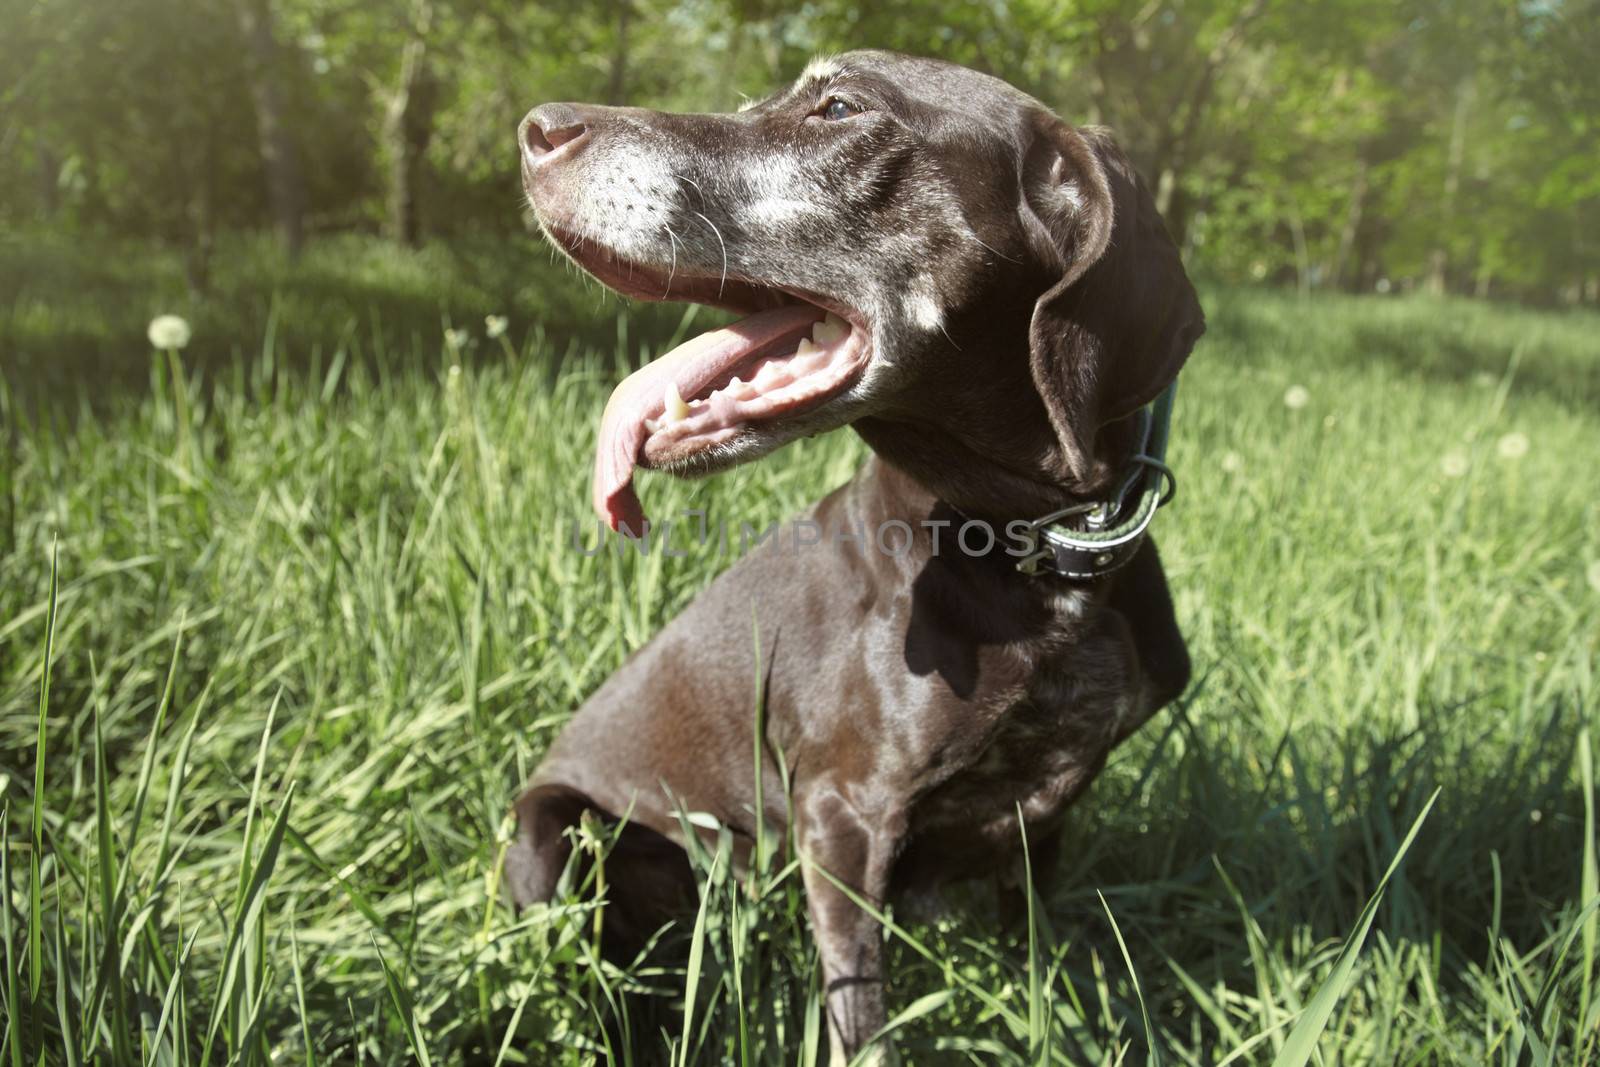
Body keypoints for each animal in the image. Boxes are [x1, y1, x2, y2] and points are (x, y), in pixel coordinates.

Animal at [508, 51, 1203, 1067]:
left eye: (839, 108)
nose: (535, 128)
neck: (1035, 554)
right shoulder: (842, 816)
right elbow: (862, 1019)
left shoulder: (1044, 824)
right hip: (550, 828)